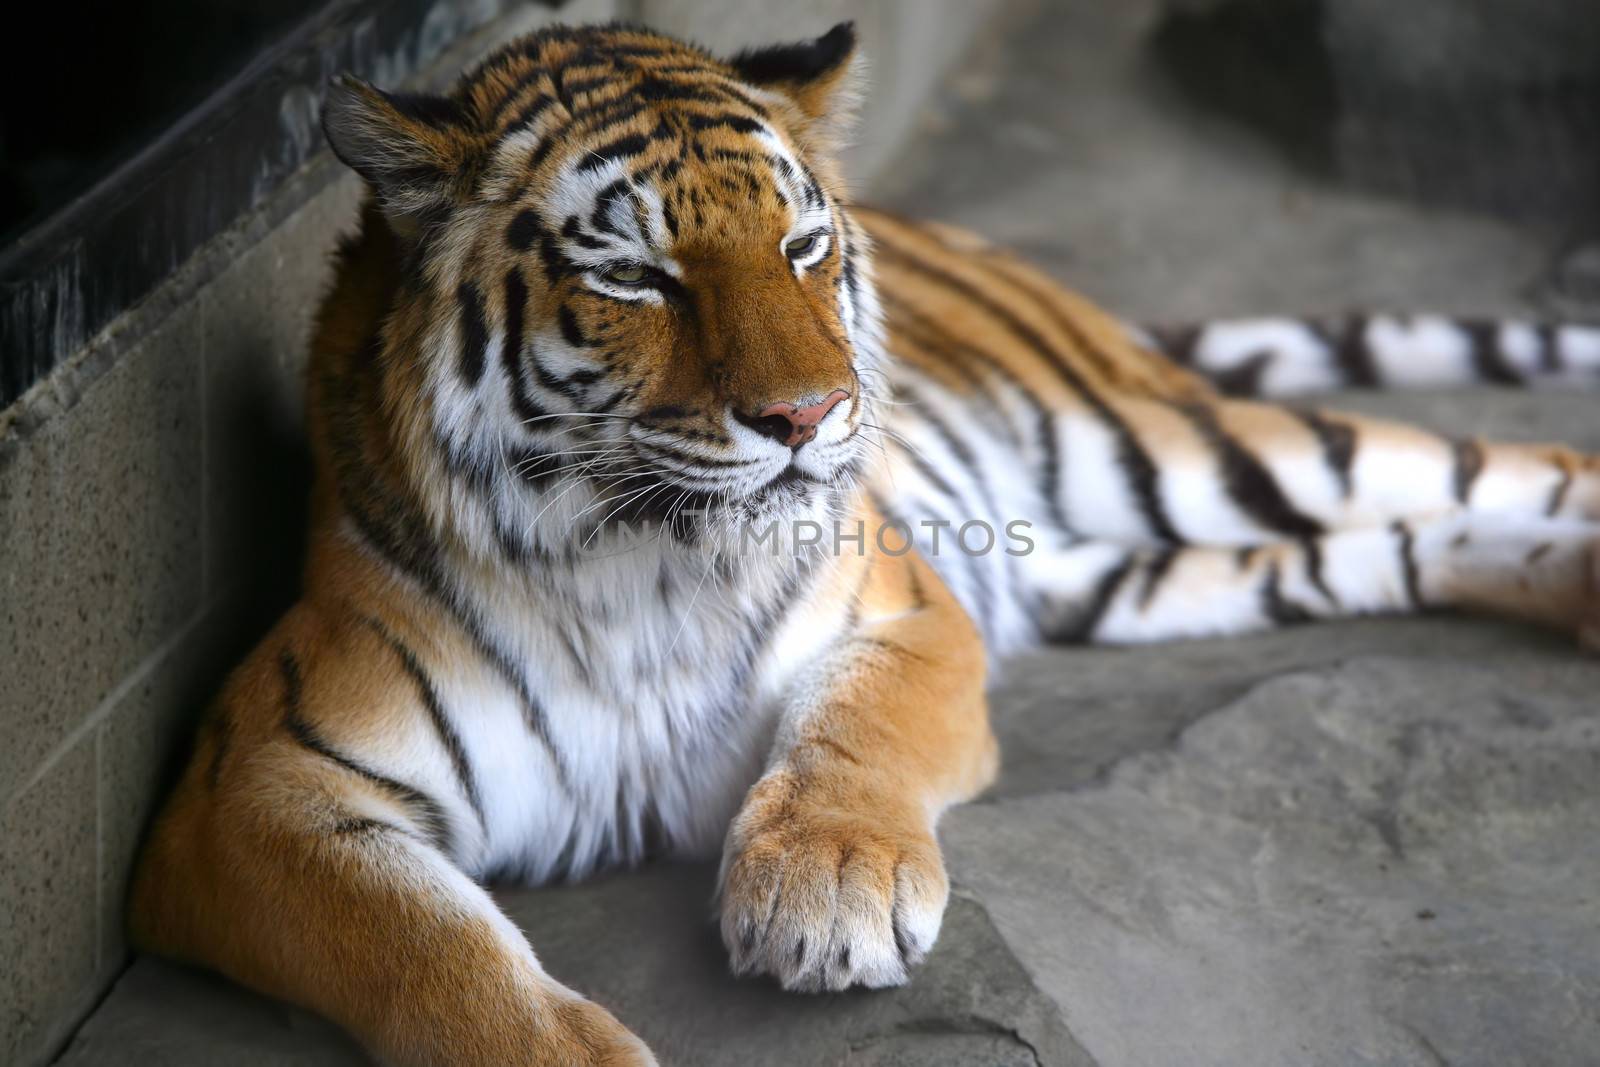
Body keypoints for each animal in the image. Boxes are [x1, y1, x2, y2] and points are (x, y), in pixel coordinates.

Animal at [128, 16, 1600, 1067]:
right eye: (635, 278)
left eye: (799, 246)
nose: (810, 416)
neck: (639, 561)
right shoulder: (253, 791)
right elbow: (427, 947)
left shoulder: (908, 610)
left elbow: (858, 733)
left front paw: (827, 889)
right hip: (1141, 564)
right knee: (1407, 537)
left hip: (1186, 450)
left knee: (1513, 466)